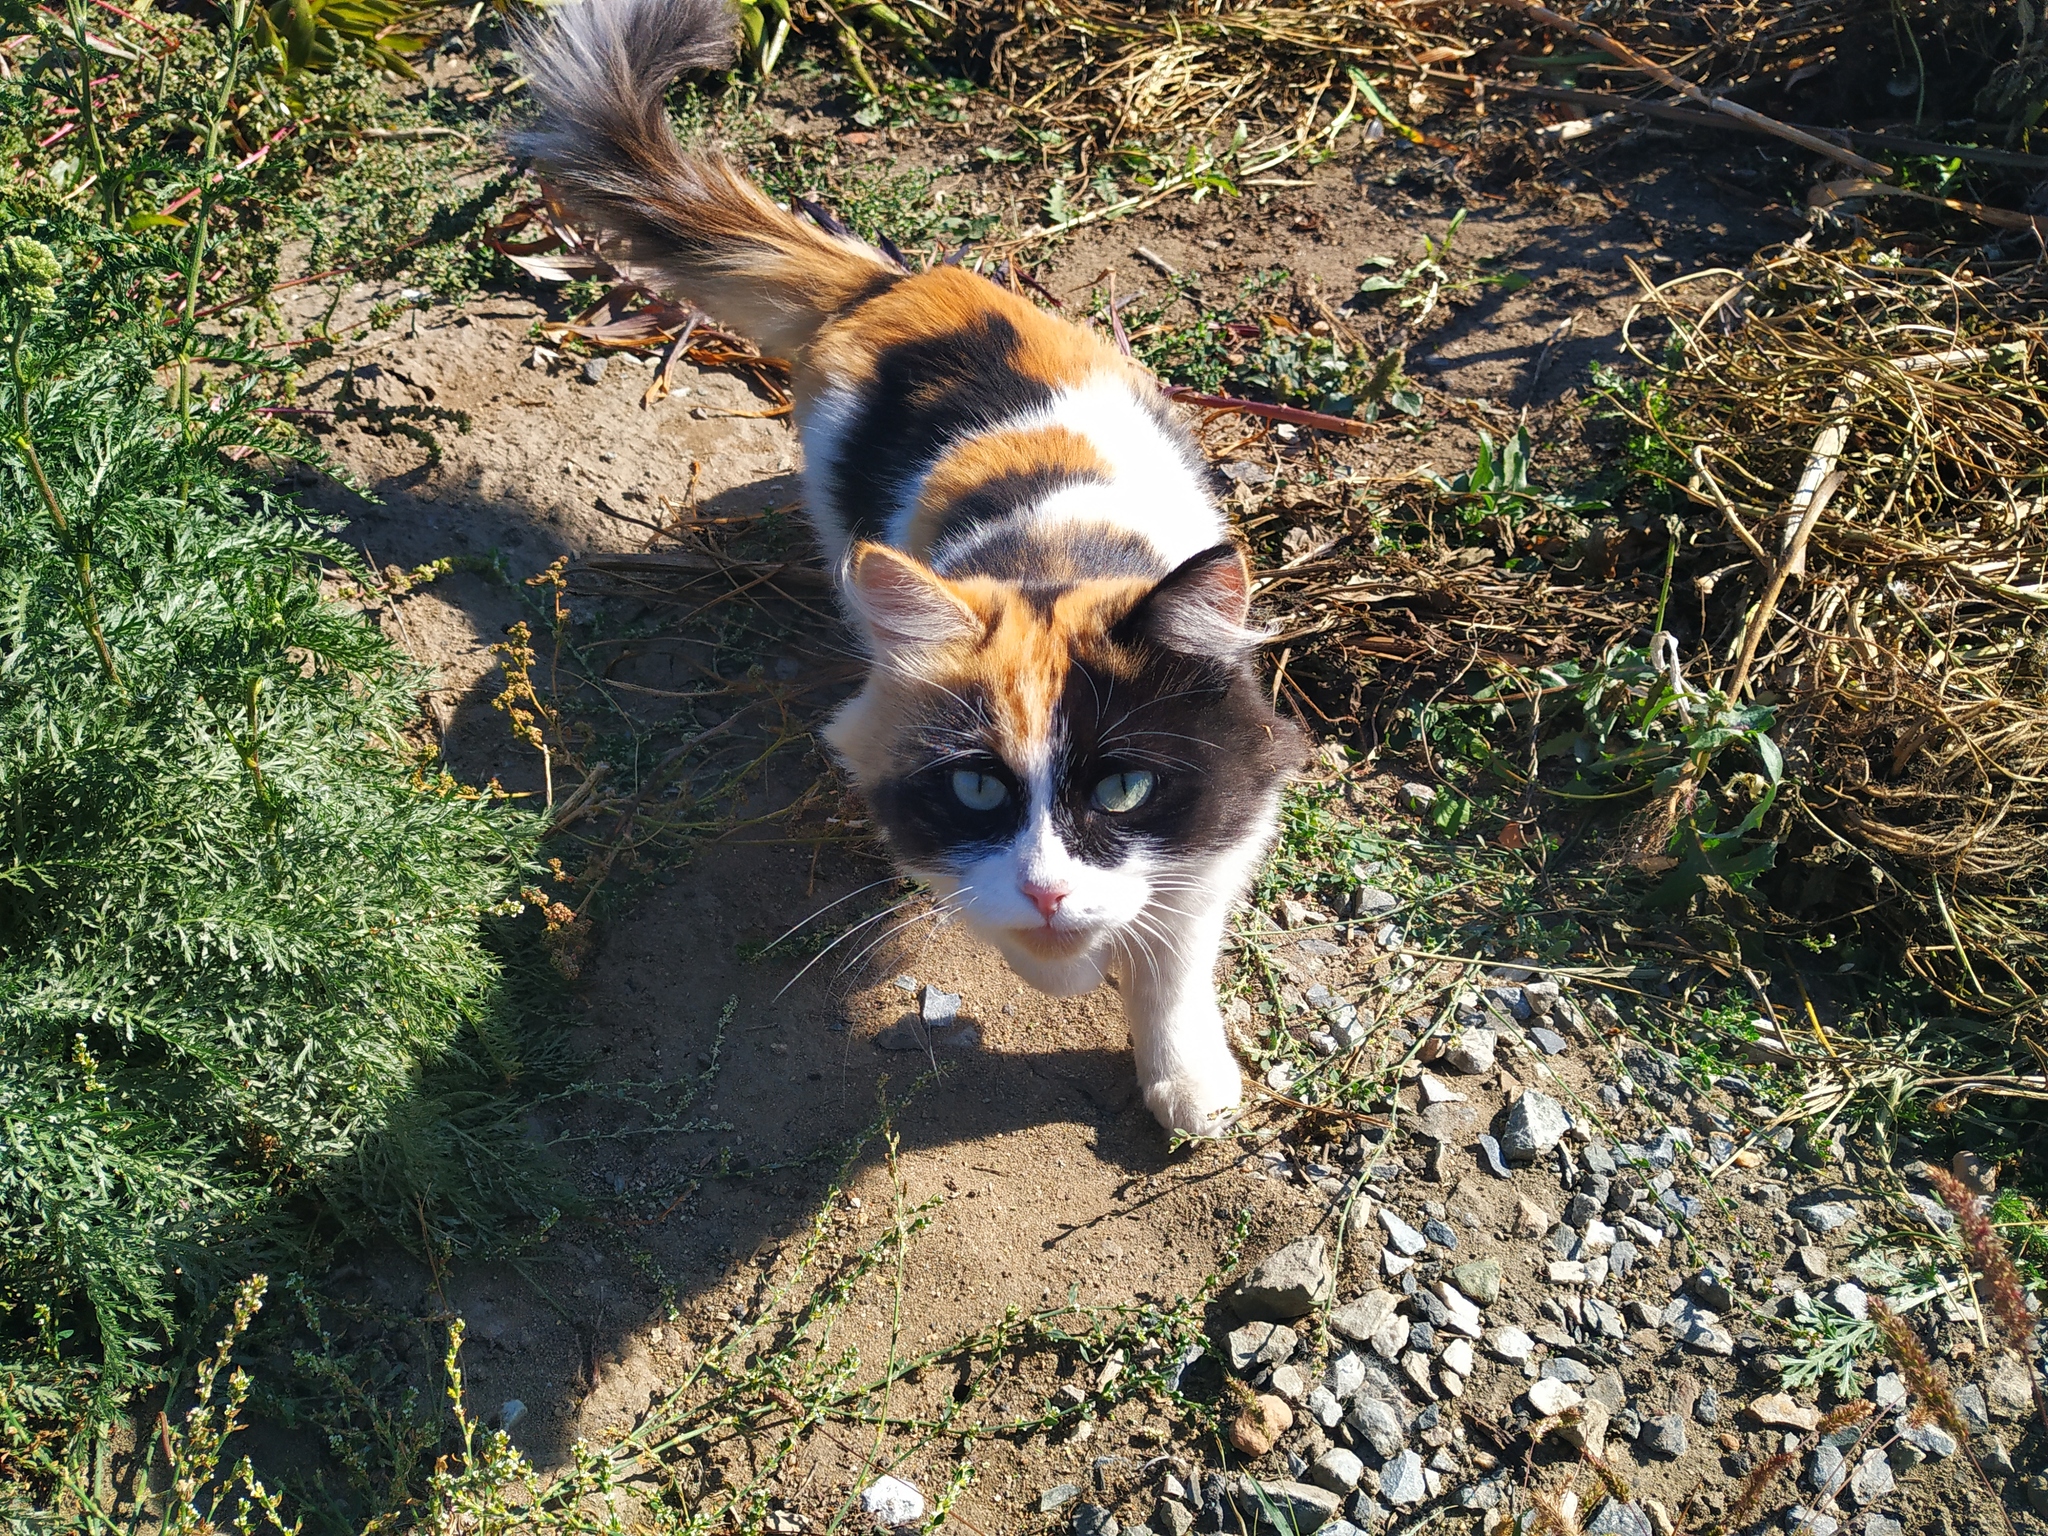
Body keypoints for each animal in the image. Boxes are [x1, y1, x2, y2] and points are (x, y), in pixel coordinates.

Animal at [520, 0, 1302, 1130]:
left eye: (1121, 791)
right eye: (977, 790)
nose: (1050, 889)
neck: (1056, 558)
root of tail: (893, 281)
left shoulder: (1235, 801)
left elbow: (1176, 945)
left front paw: (1185, 1077)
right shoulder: (876, 750)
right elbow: (995, 915)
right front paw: (1066, 962)